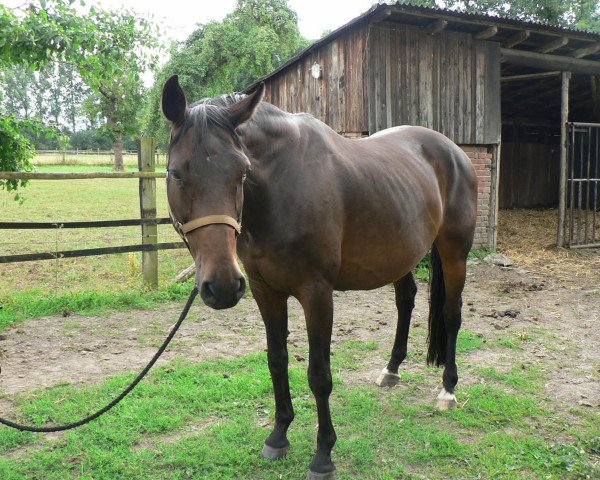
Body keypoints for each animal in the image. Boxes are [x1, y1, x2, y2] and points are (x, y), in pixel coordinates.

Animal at [162, 74, 476, 476]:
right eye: (175, 173)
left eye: (242, 172)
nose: (222, 287)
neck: (281, 189)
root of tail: (454, 151)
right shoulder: (265, 290)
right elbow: (276, 360)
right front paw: (278, 436)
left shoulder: (317, 293)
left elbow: (319, 375)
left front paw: (323, 454)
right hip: (399, 253)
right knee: (406, 300)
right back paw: (391, 370)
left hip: (455, 253)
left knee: (451, 315)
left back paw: (448, 389)